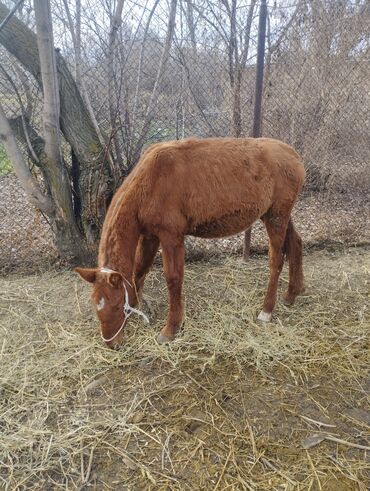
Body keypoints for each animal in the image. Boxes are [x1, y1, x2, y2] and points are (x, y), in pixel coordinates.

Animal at [74, 136, 304, 348]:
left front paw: (171, 328)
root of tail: (294, 156)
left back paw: (267, 309)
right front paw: (139, 305)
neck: (150, 181)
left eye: (116, 304)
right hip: (276, 215)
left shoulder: (171, 236)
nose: (112, 342)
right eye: (95, 304)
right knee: (295, 243)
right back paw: (292, 293)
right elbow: (139, 270)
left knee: (276, 260)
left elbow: (173, 279)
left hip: (276, 217)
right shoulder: (150, 236)